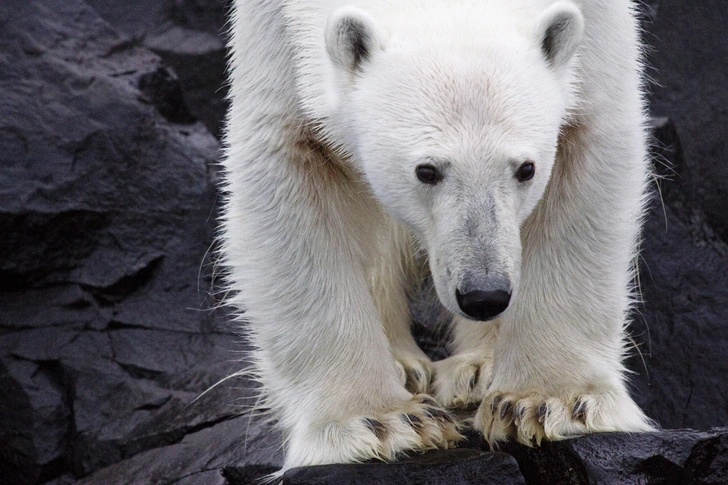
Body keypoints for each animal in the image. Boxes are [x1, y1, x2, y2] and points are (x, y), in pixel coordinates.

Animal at [220, 0, 656, 472]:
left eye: (526, 169)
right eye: (426, 170)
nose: (484, 294)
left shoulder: (602, 23)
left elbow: (590, 145)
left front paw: (548, 401)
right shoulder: (273, 29)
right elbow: (287, 163)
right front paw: (380, 421)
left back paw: (477, 368)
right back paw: (406, 366)